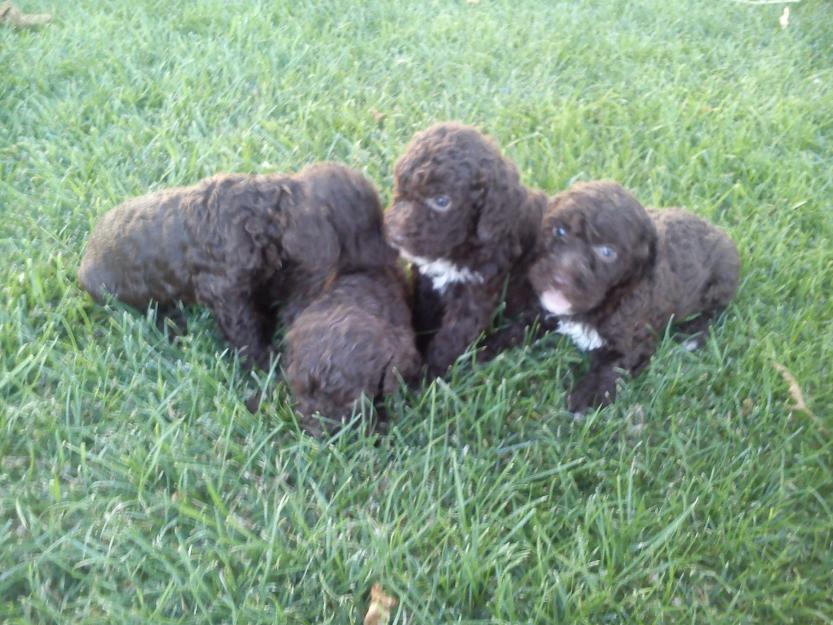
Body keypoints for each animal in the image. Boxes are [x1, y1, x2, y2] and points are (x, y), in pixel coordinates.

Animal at [76, 161, 382, 368]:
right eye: (369, 229)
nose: (388, 256)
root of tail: (82, 264)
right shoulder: (226, 291)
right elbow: (244, 329)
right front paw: (267, 363)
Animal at [386, 121, 552, 376]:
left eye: (442, 201)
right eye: (401, 189)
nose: (393, 234)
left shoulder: (476, 292)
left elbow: (451, 338)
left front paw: (428, 376)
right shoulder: (426, 283)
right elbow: (424, 316)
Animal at [528, 180, 736, 412]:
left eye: (607, 252)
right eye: (560, 230)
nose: (559, 279)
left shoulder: (634, 340)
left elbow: (614, 365)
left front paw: (589, 396)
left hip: (721, 282)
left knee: (714, 312)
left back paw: (691, 334)